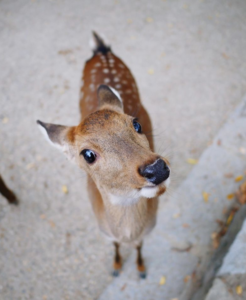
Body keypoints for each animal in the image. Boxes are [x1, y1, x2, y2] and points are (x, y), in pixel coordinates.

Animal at [37, 31, 171, 278]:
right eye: (88, 154)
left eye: (136, 124)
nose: (156, 169)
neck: (126, 231)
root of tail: (101, 49)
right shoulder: (105, 233)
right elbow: (115, 245)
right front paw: (116, 267)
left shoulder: (149, 231)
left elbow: (139, 245)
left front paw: (141, 268)